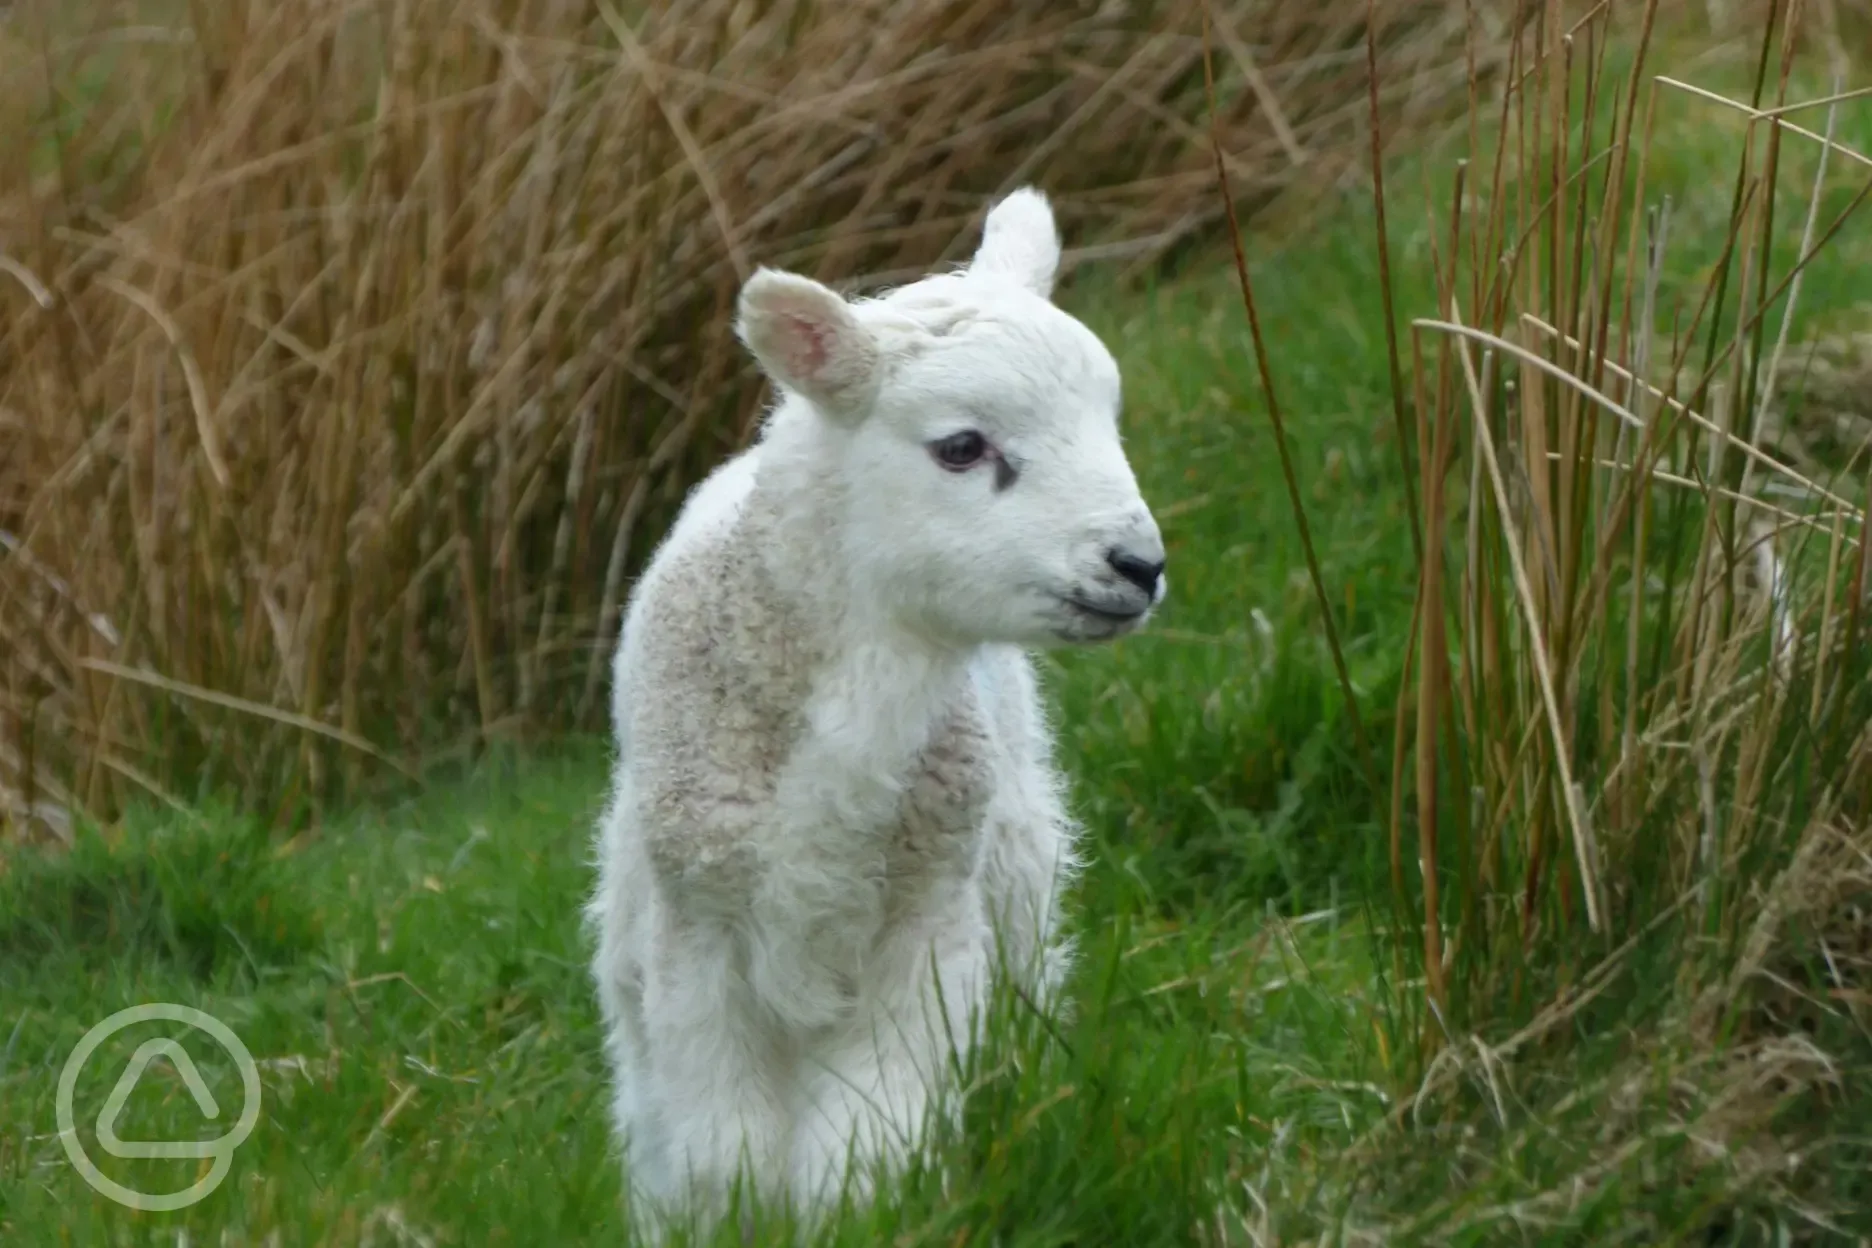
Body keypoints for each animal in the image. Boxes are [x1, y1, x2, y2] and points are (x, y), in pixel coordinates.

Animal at [584, 190, 1168, 1234]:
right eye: (962, 447)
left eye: (1108, 420)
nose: (1139, 567)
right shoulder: (698, 937)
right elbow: (722, 1156)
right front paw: (729, 1224)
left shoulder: (925, 923)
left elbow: (868, 1142)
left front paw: (864, 1219)